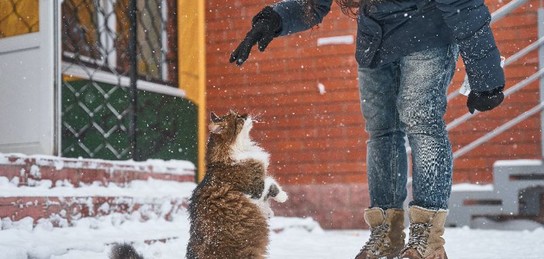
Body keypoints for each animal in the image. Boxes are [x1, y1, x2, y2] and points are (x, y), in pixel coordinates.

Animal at [187, 111, 286, 259]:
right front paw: (282, 197)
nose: (246, 115)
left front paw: (269, 211)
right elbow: (270, 183)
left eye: (236, 114)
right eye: (238, 118)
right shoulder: (255, 189)